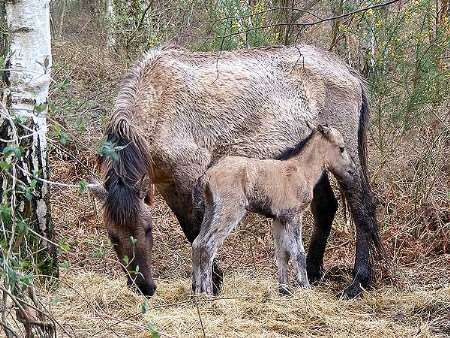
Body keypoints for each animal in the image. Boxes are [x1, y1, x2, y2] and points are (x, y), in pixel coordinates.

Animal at [93, 44, 382, 298]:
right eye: (113, 237)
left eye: (148, 230)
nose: (144, 288)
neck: (158, 101)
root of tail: (349, 72)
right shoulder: (166, 184)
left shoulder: (189, 178)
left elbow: (196, 230)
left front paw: (212, 282)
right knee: (325, 208)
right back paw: (311, 271)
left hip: (346, 162)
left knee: (361, 208)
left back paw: (358, 282)